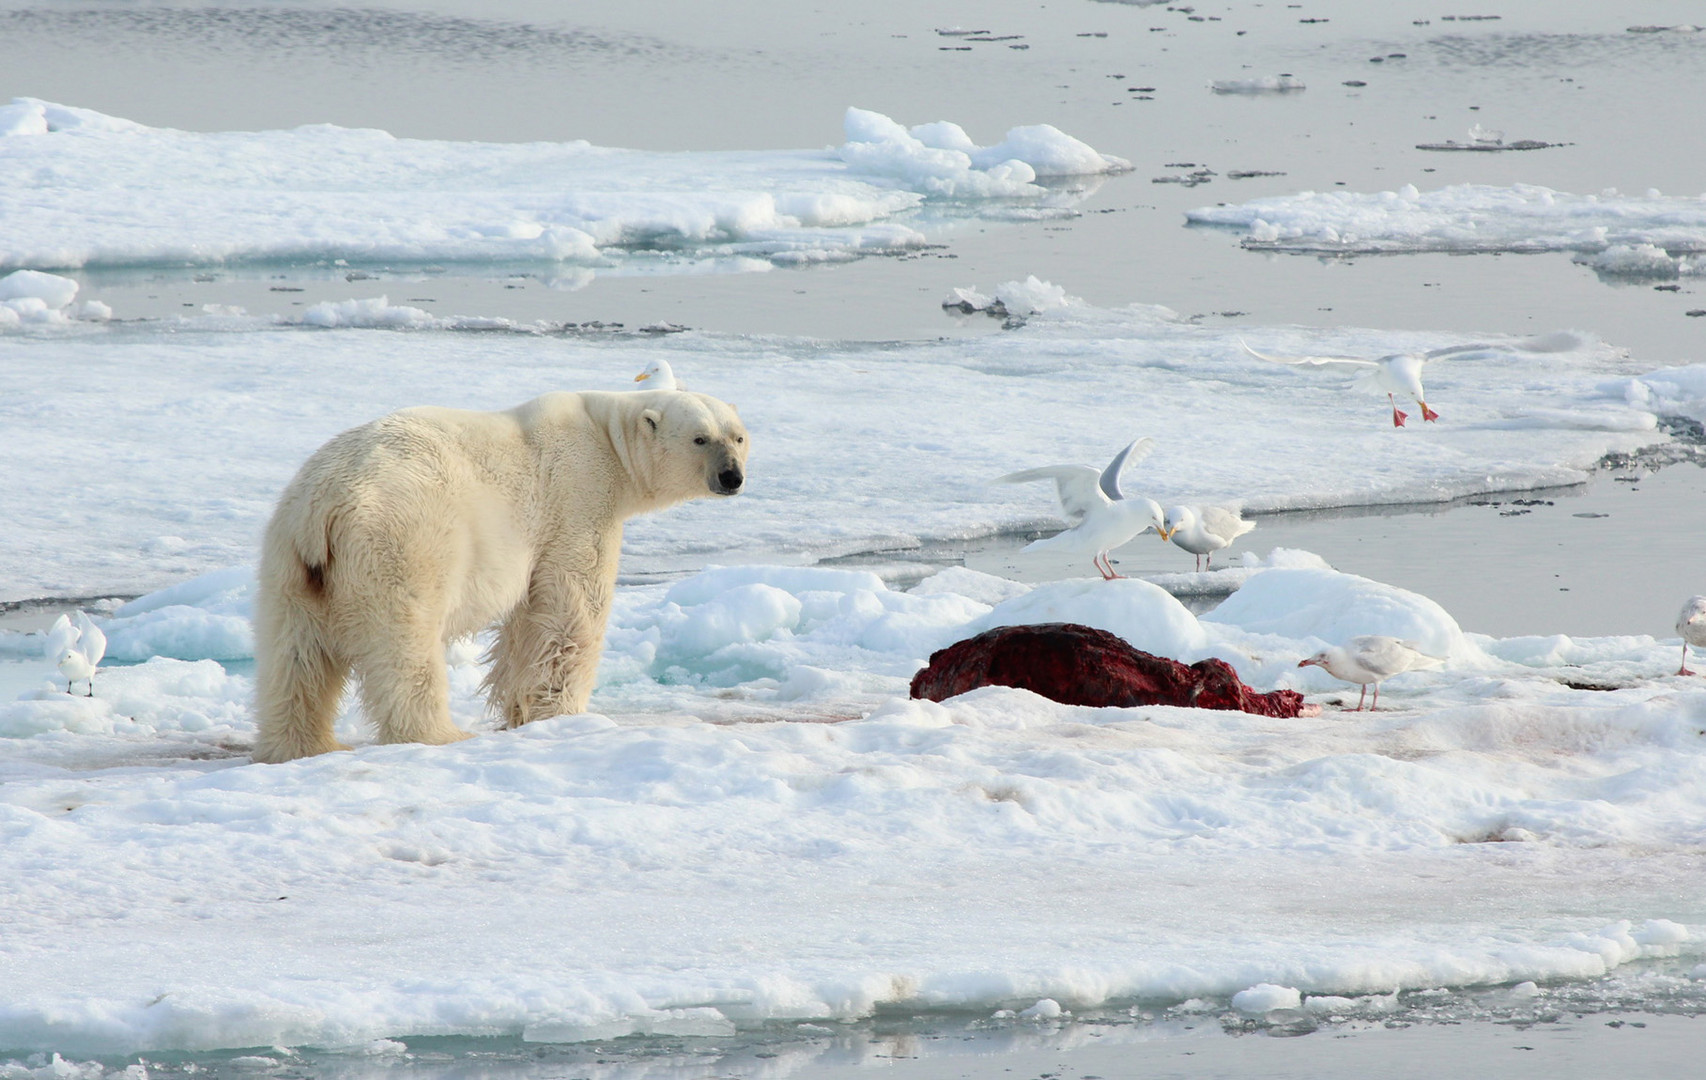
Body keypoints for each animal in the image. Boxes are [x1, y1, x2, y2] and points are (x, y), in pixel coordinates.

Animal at [249, 385, 747, 757]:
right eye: (700, 438)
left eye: (738, 436)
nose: (732, 477)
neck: (607, 437)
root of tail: (325, 506)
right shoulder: (576, 500)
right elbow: (570, 610)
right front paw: (561, 713)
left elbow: (528, 622)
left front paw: (520, 710)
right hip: (402, 543)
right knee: (405, 643)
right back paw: (440, 734)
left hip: (293, 565)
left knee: (295, 655)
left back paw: (303, 745)